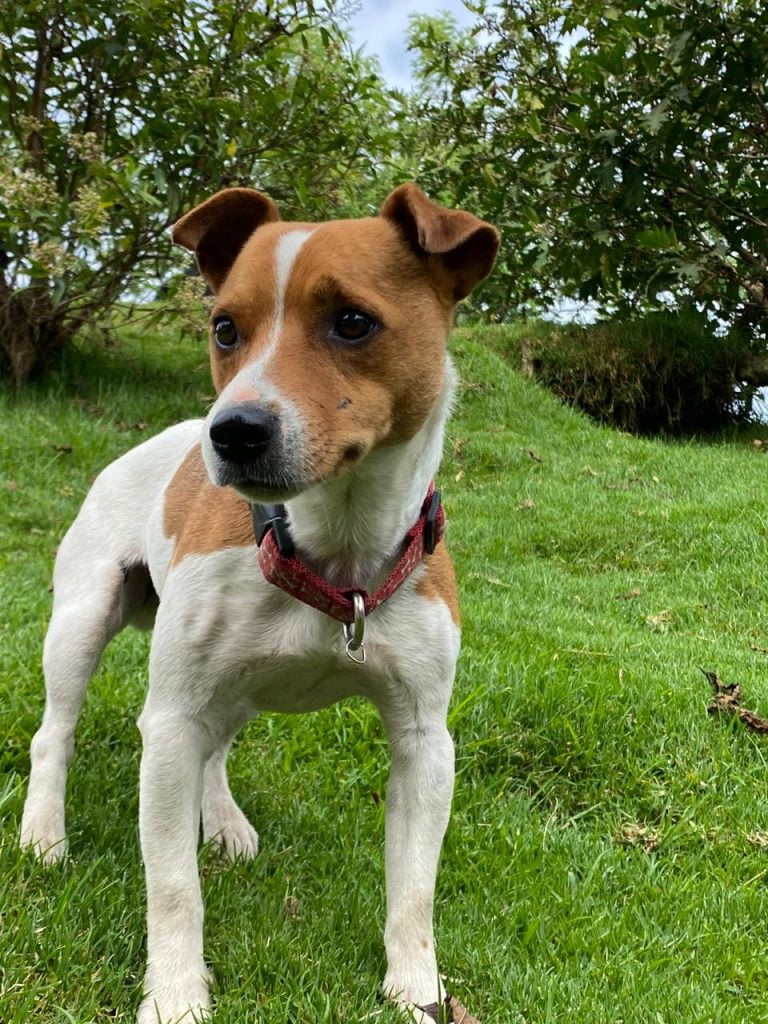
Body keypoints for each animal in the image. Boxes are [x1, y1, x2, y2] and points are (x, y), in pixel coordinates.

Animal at [20, 183, 499, 1023]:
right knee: (57, 733)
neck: (333, 555)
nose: (233, 430)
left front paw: (415, 989)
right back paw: (44, 835)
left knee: (215, 750)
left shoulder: (424, 741)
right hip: (83, 620)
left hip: (236, 687)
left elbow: (413, 888)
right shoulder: (170, 719)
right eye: (224, 328)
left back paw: (223, 820)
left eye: (352, 321)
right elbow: (172, 886)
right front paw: (176, 995)